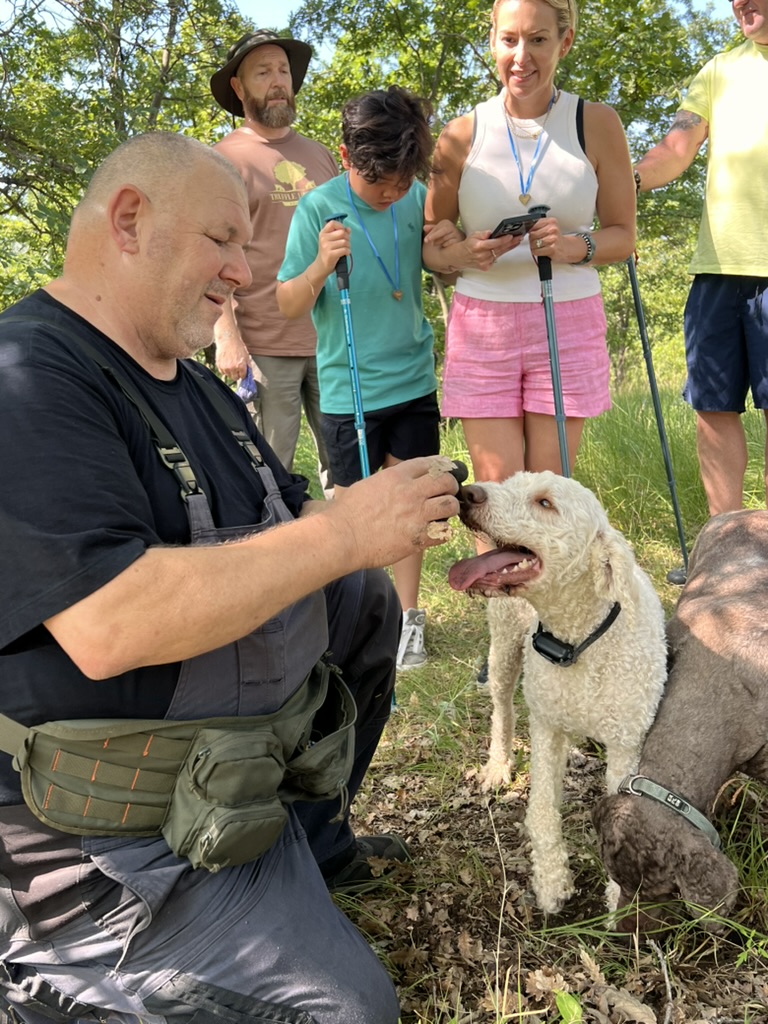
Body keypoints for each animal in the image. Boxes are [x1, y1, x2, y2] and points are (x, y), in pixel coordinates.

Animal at [448, 471, 667, 914]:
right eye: (511, 482)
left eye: (545, 503)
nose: (467, 491)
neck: (580, 638)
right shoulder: (546, 727)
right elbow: (543, 810)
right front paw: (552, 883)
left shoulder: (627, 745)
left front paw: (618, 897)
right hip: (504, 646)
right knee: (502, 709)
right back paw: (498, 765)